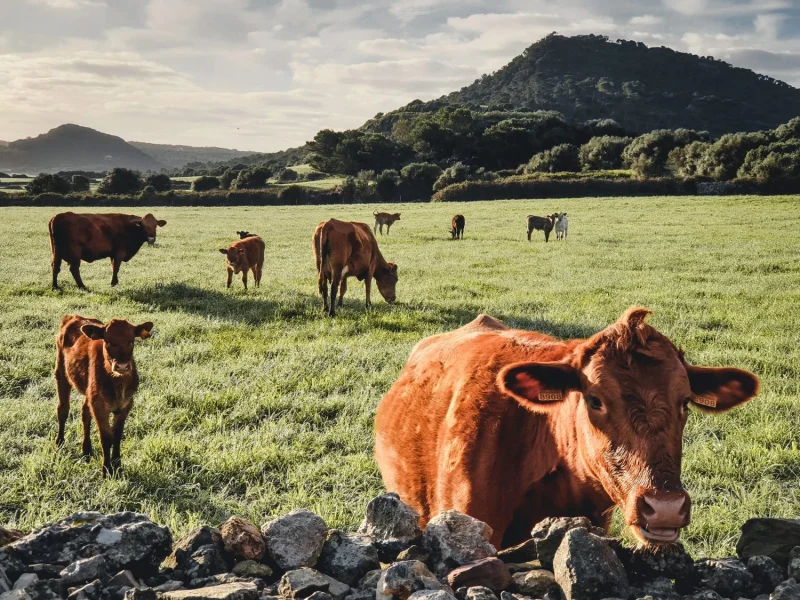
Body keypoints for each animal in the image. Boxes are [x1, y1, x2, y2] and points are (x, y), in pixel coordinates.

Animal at [54, 315, 154, 477]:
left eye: (131, 341)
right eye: (107, 341)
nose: (122, 366)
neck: (117, 383)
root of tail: (73, 317)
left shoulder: (127, 404)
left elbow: (118, 434)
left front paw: (117, 464)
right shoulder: (99, 406)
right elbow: (106, 438)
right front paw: (106, 469)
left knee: (84, 413)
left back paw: (86, 450)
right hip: (61, 374)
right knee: (63, 410)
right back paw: (60, 442)